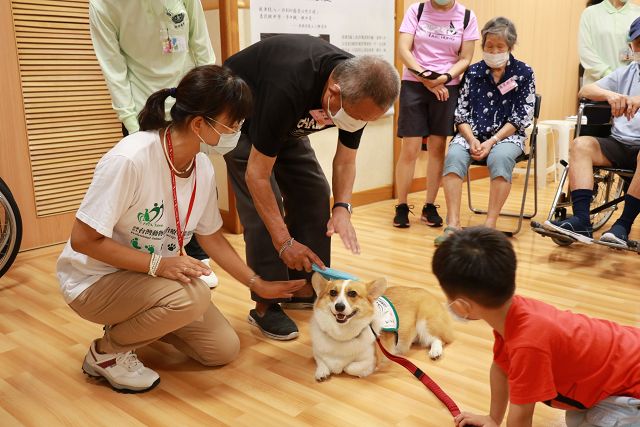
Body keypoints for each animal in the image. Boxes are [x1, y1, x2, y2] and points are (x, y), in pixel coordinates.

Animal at [310, 272, 456, 382]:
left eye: (352, 293)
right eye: (332, 292)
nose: (339, 306)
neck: (341, 335)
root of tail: (429, 294)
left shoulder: (370, 359)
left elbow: (350, 367)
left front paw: (344, 369)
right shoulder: (317, 351)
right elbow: (320, 360)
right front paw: (322, 372)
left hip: (424, 324)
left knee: (437, 339)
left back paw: (435, 351)